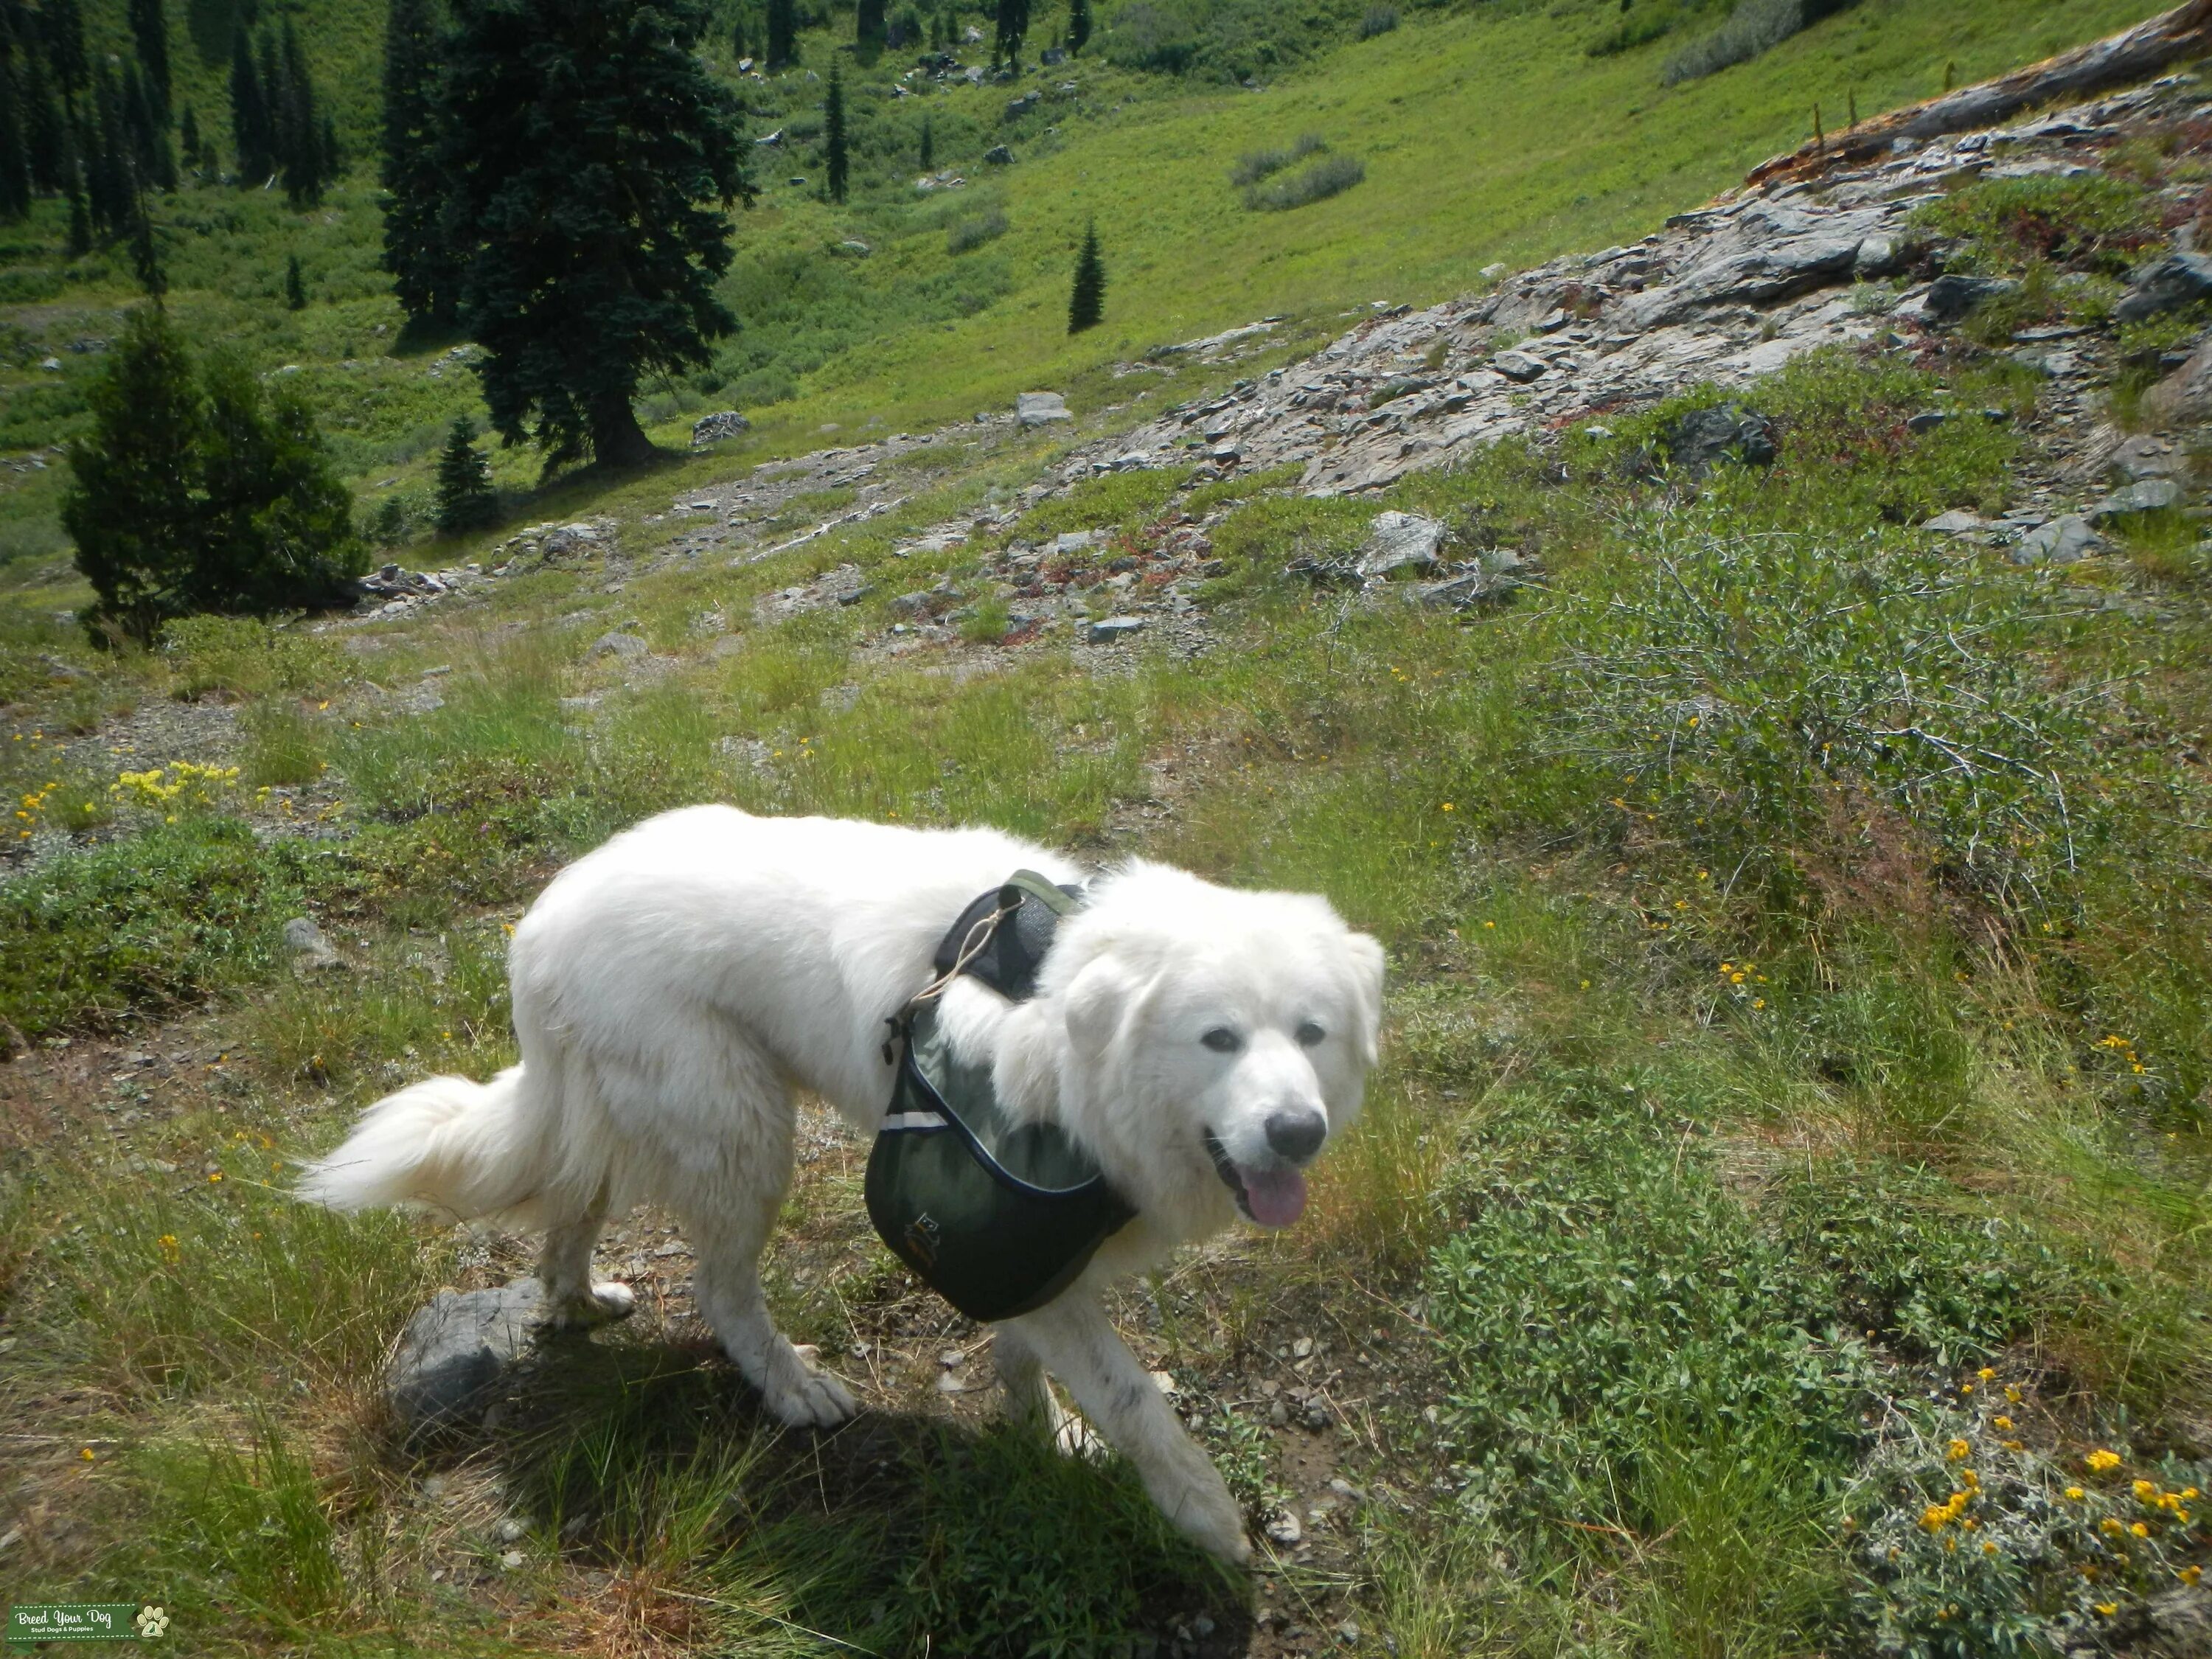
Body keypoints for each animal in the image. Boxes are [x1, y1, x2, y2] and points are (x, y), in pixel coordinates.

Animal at [303, 814, 1380, 1566]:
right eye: (1218, 1038)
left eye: (1312, 1032)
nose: (1298, 1131)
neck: (1067, 1031)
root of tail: (538, 927)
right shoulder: (1007, 1227)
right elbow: (1132, 1399)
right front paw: (1204, 1513)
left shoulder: (1024, 1255)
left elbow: (1028, 1355)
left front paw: (1047, 1435)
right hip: (742, 1132)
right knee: (720, 1289)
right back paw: (793, 1387)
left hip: (623, 1115)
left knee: (569, 1214)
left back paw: (578, 1303)